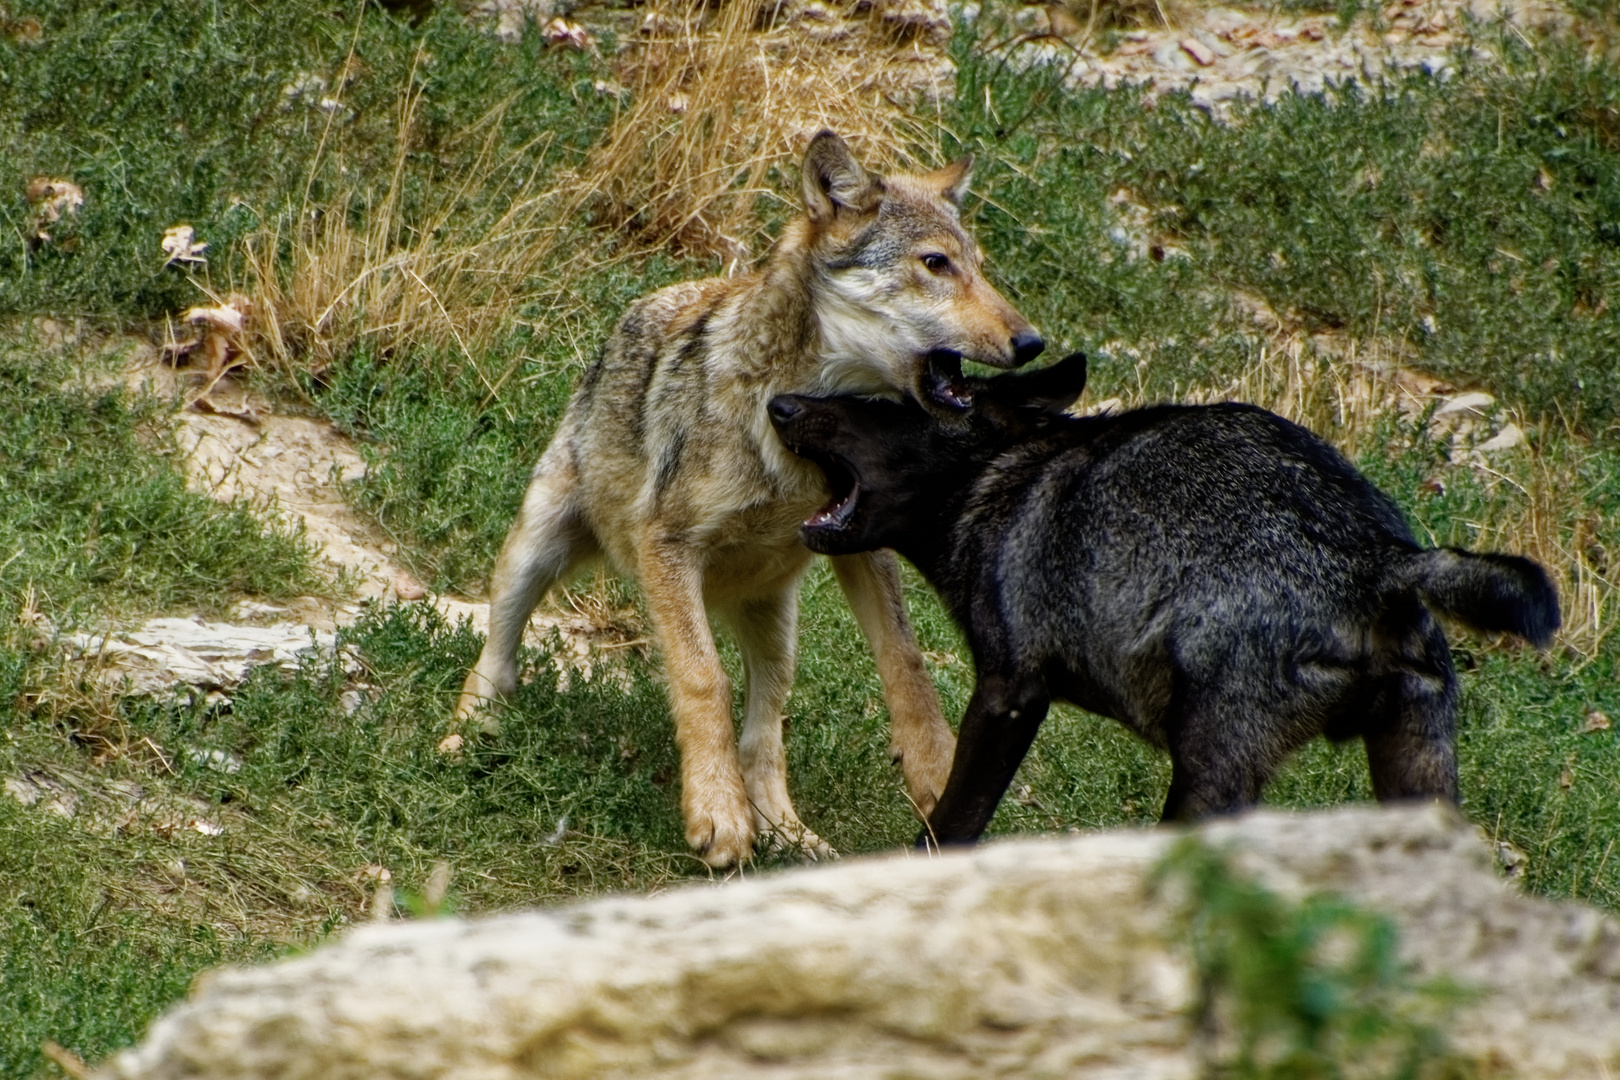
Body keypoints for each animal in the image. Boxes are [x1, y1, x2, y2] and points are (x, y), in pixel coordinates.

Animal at [450, 131, 1043, 867]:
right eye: (935, 264)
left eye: (980, 269)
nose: (1032, 342)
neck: (797, 433)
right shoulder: (667, 548)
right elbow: (704, 679)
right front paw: (716, 810)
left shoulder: (860, 539)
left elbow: (908, 665)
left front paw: (935, 771)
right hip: (535, 553)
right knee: (496, 660)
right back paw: (465, 741)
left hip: (777, 625)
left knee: (767, 730)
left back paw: (788, 829)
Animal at [767, 354, 1555, 841]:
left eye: (877, 404)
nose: (779, 403)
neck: (1006, 478)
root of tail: (1381, 560)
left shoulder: (1008, 695)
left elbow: (949, 827)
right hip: (1416, 777)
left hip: (1208, 783)